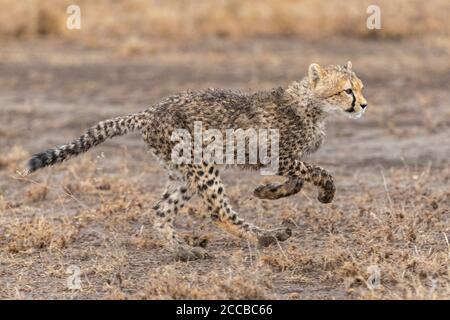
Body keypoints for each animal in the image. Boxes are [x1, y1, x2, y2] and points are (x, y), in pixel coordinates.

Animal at [24, 62, 368, 260]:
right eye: (346, 91)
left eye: (361, 88)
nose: (364, 105)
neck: (310, 103)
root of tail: (150, 111)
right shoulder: (277, 155)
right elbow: (316, 171)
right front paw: (326, 192)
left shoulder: (285, 159)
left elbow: (298, 178)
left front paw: (268, 192)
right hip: (201, 165)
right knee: (220, 212)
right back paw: (267, 236)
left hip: (182, 175)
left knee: (160, 212)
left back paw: (185, 251)